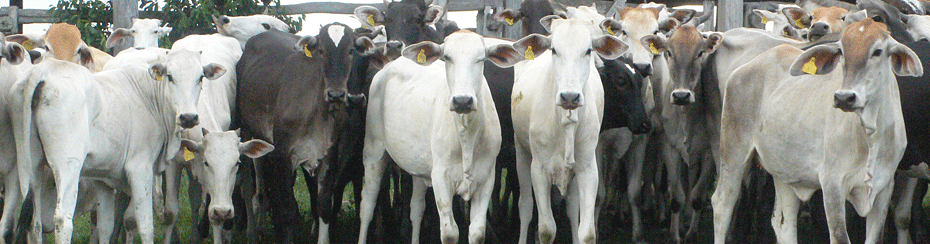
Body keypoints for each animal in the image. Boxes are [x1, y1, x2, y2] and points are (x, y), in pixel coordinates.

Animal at [9, 50, 223, 244]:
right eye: (170, 76)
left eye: (200, 77)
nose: (188, 117)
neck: (148, 96)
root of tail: (44, 71)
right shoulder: (140, 169)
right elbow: (145, 225)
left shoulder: (102, 180)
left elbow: (106, 227)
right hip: (68, 166)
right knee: (63, 220)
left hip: (31, 168)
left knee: (34, 224)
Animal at [234, 23, 376, 242]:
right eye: (321, 51)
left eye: (351, 50)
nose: (336, 95)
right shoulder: (283, 156)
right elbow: (289, 210)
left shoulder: (328, 156)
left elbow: (324, 206)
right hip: (246, 129)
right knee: (248, 184)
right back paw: (252, 232)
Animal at [508, 17, 624, 244]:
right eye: (554, 50)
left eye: (588, 50)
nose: (570, 96)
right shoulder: (539, 170)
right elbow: (546, 229)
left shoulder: (588, 168)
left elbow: (586, 231)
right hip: (521, 153)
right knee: (525, 207)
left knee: (572, 208)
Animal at [716, 19, 916, 244]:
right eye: (842, 52)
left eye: (878, 51)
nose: (844, 97)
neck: (870, 135)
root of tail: (746, 67)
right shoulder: (832, 184)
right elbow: (839, 236)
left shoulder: (885, 186)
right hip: (733, 153)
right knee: (722, 205)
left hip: (783, 170)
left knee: (783, 223)